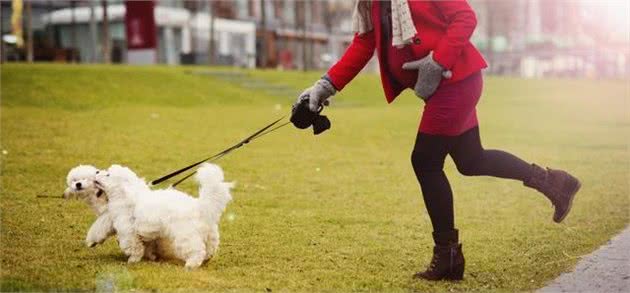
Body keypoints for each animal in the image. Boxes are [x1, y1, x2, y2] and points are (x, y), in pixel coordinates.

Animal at [97, 162, 236, 266]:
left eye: (108, 174)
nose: (97, 172)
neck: (127, 195)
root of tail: (199, 206)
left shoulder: (129, 233)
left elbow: (135, 248)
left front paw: (133, 261)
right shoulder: (152, 235)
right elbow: (149, 246)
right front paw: (151, 257)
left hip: (185, 235)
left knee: (196, 250)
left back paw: (191, 265)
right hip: (211, 235)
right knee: (210, 249)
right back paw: (206, 259)